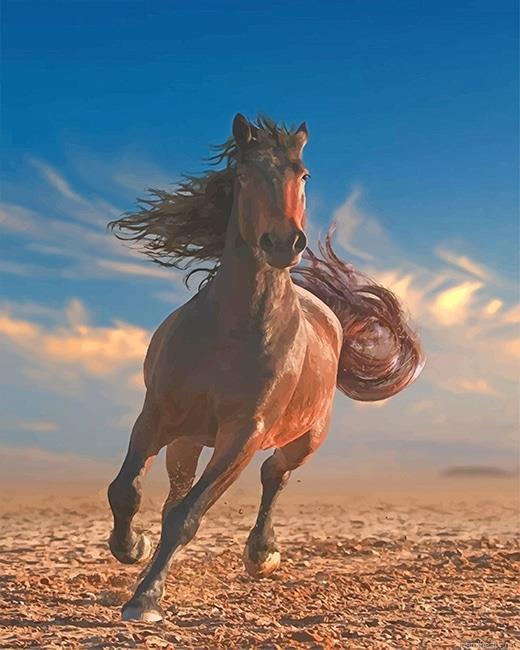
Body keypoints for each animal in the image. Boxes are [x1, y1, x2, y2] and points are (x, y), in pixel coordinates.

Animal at [106, 114, 423, 622]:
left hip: (305, 437)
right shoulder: (157, 414)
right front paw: (132, 547)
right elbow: (127, 491)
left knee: (274, 474)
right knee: (180, 487)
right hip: (187, 439)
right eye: (244, 174)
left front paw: (145, 599)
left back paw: (262, 555)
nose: (283, 242)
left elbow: (187, 516)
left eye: (304, 174)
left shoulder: (244, 433)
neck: (233, 330)